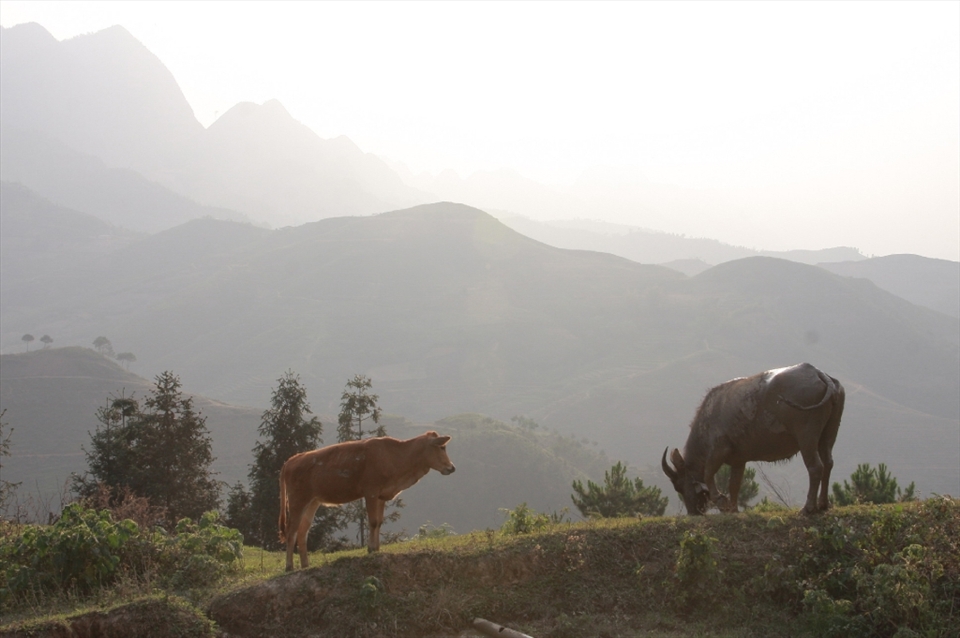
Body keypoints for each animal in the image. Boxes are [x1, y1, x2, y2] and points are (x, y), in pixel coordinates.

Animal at [279, 430, 455, 571]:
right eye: (442, 447)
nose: (452, 467)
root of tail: (291, 460)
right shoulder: (370, 491)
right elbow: (372, 521)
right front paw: (370, 549)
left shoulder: (382, 495)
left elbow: (379, 522)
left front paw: (376, 548)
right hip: (297, 500)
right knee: (291, 531)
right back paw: (289, 566)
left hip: (312, 501)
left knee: (303, 532)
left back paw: (305, 565)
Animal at [661, 362, 844, 516]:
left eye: (679, 487)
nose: (693, 513)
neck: (709, 417)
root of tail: (818, 373)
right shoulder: (738, 460)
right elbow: (734, 484)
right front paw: (733, 509)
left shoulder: (719, 450)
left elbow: (708, 474)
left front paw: (721, 502)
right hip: (829, 433)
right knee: (828, 463)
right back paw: (823, 504)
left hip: (807, 436)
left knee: (816, 467)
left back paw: (808, 508)